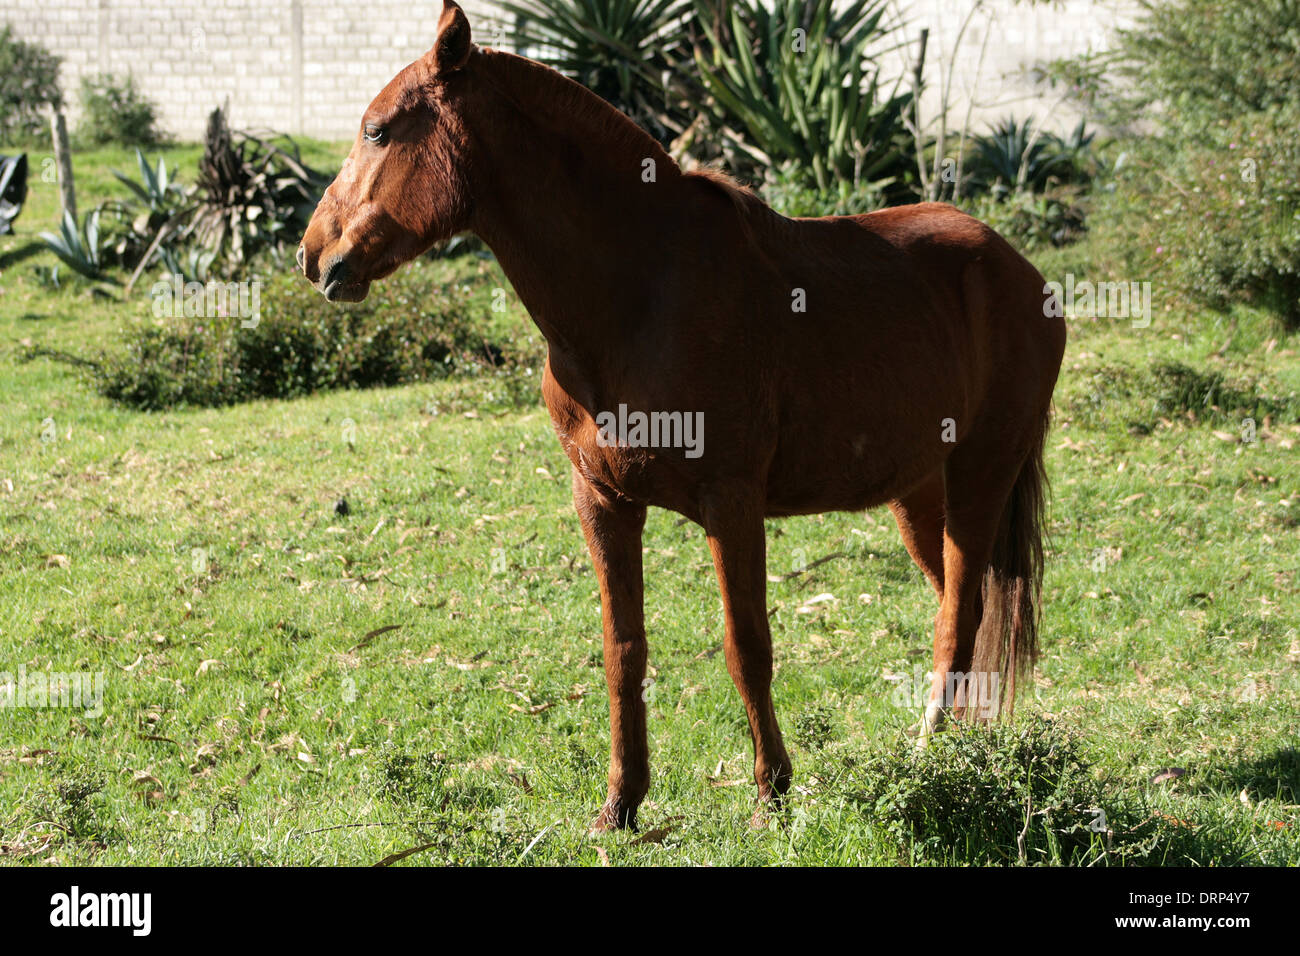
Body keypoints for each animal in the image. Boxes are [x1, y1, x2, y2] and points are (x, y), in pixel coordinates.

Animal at [297, 1, 1066, 832]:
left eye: (378, 131)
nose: (313, 256)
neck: (639, 293)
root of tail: (1019, 270)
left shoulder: (731, 503)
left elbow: (747, 645)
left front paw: (770, 795)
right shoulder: (603, 501)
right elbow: (622, 649)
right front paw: (620, 802)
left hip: (980, 478)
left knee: (958, 616)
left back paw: (932, 756)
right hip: (920, 495)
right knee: (968, 607)